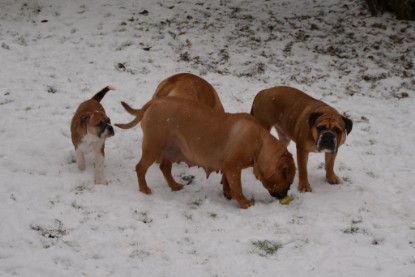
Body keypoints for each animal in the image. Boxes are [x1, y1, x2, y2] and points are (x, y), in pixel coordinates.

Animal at [115, 97, 296, 207]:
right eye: (288, 182)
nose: (286, 193)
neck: (260, 144)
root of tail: (154, 102)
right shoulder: (233, 166)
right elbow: (237, 186)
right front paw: (244, 203)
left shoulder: (228, 167)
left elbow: (228, 182)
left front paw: (227, 193)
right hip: (153, 147)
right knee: (140, 168)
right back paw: (144, 189)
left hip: (170, 148)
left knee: (165, 168)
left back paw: (174, 185)